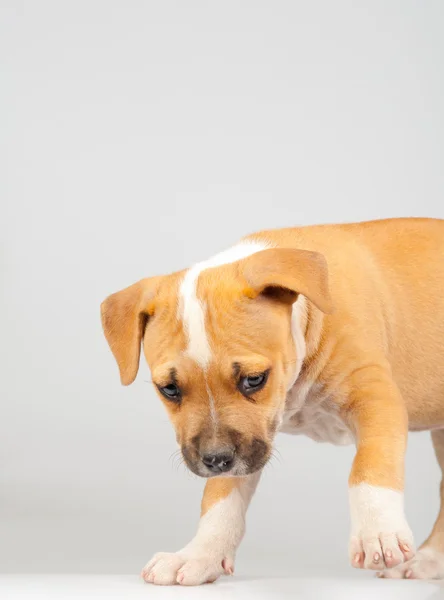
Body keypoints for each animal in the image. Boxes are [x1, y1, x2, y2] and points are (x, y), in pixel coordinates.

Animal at [100, 218, 444, 584]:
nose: (216, 460)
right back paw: (430, 561)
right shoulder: (244, 443)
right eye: (169, 389)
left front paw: (377, 533)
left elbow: (369, 466)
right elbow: (220, 499)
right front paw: (199, 555)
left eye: (254, 380)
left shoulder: (375, 398)